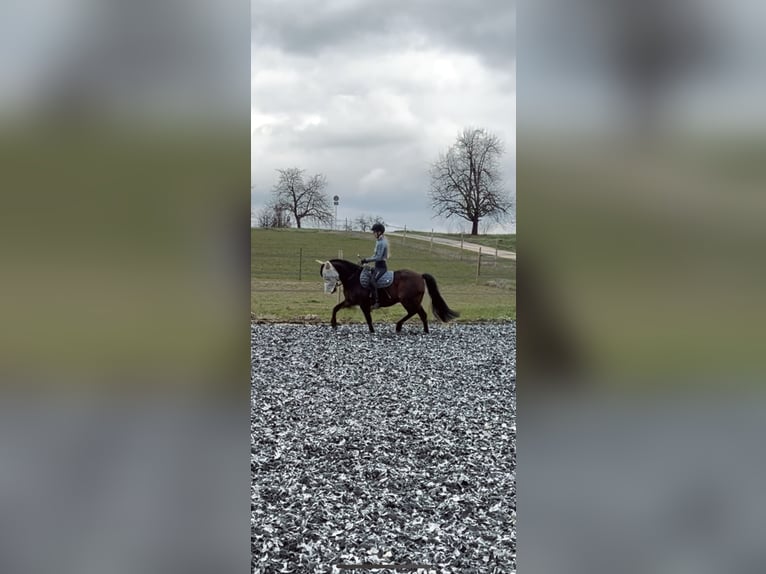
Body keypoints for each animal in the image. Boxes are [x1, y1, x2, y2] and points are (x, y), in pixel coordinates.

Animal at [320, 260, 462, 336]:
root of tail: (420, 276)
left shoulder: (363, 304)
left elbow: (368, 318)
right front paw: (333, 324)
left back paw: (410, 328)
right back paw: (412, 329)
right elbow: (335, 308)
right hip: (412, 301)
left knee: (418, 313)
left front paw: (372, 331)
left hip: (408, 301)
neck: (353, 278)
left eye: (327, 273)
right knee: (419, 314)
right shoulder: (350, 301)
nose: (329, 290)